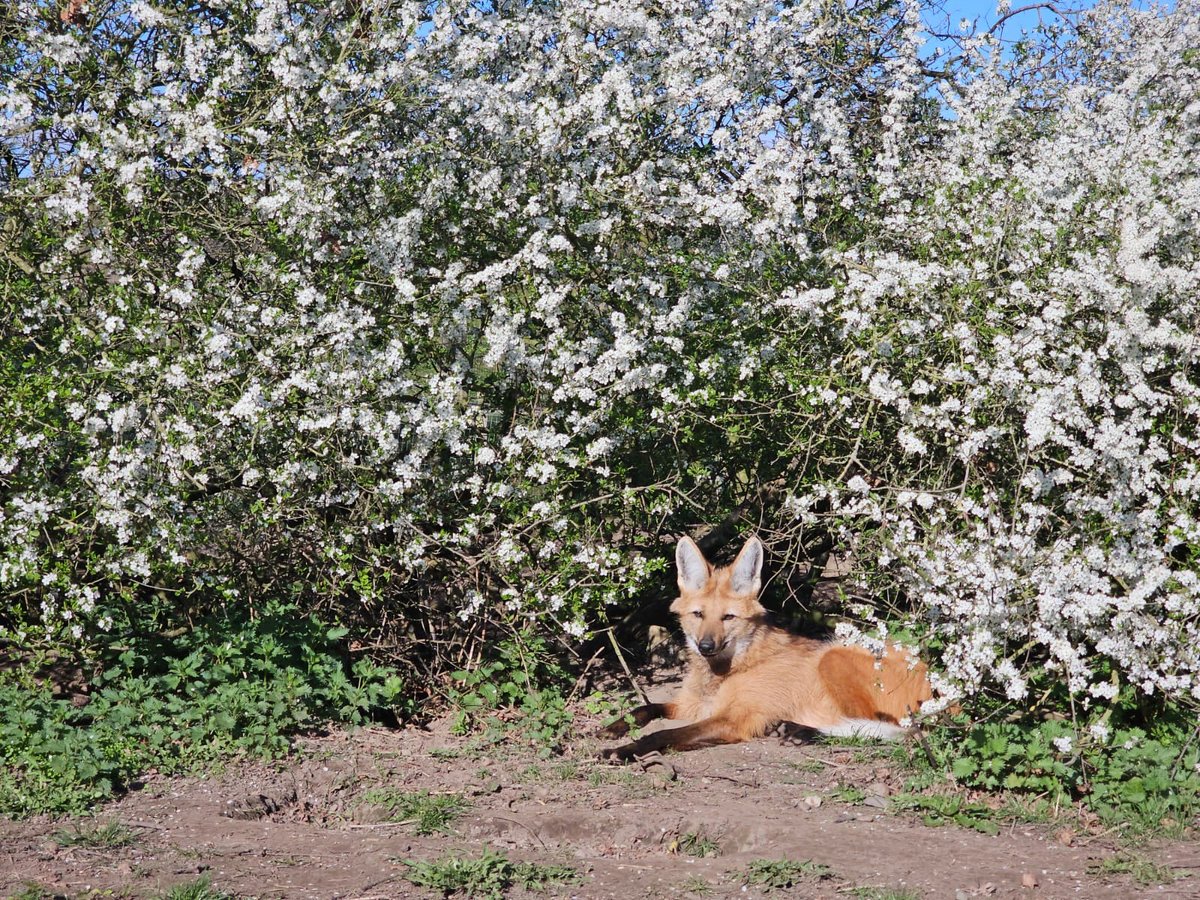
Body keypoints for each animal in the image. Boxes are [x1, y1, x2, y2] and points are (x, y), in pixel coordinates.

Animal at [600, 534, 933, 761]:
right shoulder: (693, 705)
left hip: (834, 655)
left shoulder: (733, 719)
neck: (730, 667)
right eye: (698, 615)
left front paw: (625, 749)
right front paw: (615, 727)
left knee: (895, 730)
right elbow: (647, 707)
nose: (706, 645)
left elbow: (663, 733)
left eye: (728, 618)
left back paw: (803, 731)